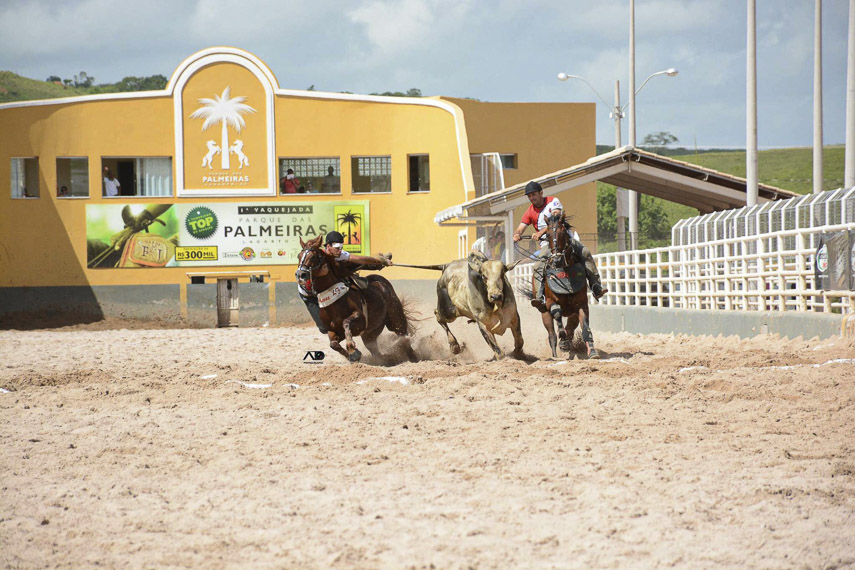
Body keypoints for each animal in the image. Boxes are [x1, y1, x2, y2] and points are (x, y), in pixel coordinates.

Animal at [294, 235, 418, 364]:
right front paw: (353, 355)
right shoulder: (333, 330)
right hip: (370, 333)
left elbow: (346, 322)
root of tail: (381, 282)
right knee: (374, 349)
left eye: (313, 256)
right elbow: (333, 344)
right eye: (299, 256)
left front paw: (352, 350)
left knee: (404, 337)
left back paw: (414, 357)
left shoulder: (360, 319)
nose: (300, 274)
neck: (333, 301)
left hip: (395, 320)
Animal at [536, 211, 600, 358]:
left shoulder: (581, 304)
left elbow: (585, 327)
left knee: (570, 327)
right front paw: (563, 341)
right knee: (552, 334)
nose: (557, 259)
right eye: (547, 234)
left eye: (563, 233)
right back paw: (556, 351)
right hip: (544, 313)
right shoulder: (550, 301)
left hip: (572, 314)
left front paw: (592, 351)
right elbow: (557, 313)